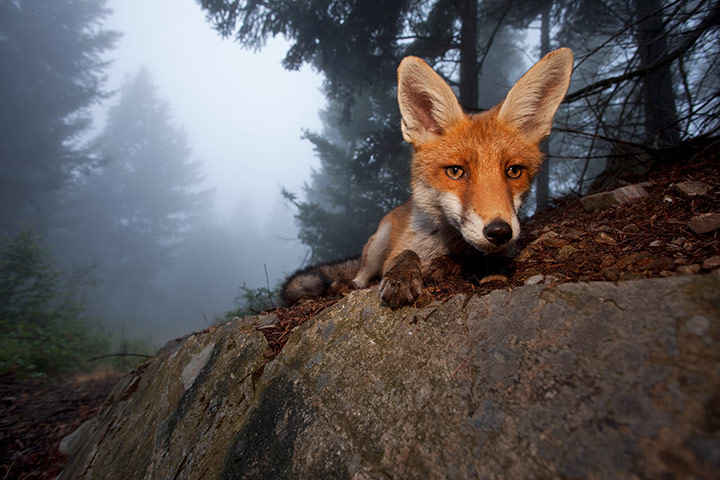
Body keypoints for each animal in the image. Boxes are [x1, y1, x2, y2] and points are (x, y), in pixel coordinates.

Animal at [282, 48, 574, 309]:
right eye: (455, 171)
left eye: (513, 171)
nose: (499, 231)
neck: (446, 241)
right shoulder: (397, 251)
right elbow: (406, 254)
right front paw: (402, 276)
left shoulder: (500, 254)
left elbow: (470, 259)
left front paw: (444, 265)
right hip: (378, 244)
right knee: (362, 275)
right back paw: (347, 284)